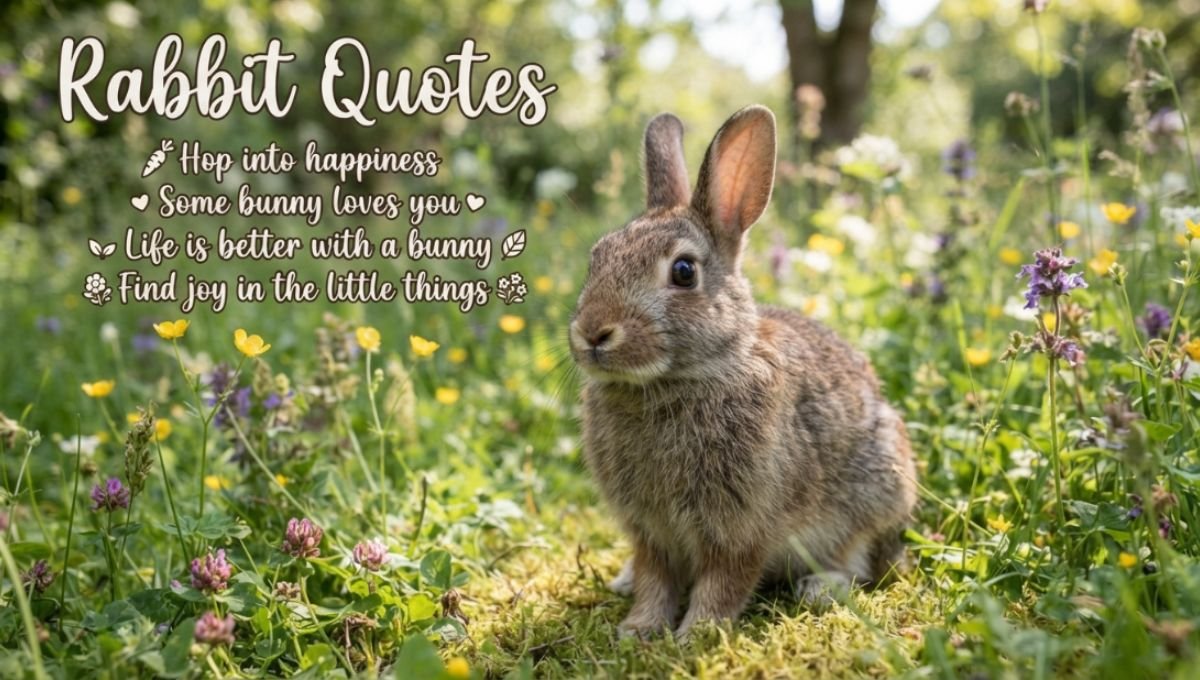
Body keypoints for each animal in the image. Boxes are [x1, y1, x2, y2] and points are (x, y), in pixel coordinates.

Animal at [568, 105, 917, 639]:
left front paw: (696, 634)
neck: (675, 381)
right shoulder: (650, 531)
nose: (592, 332)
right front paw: (640, 630)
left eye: (684, 272)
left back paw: (820, 589)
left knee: (861, 561)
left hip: (878, 493)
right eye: (596, 258)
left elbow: (724, 581)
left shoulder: (742, 526)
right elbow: (654, 577)